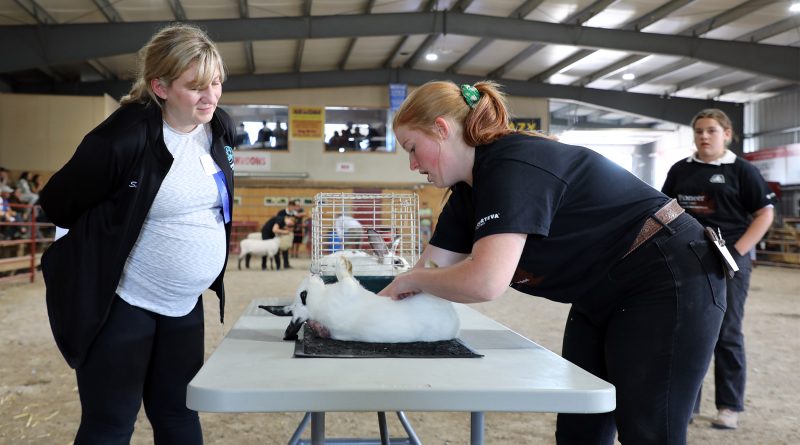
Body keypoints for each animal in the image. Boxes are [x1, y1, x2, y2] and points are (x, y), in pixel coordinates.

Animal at [262, 253, 460, 344]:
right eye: (304, 295)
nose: (311, 276)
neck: (318, 305)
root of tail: (454, 322)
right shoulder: (348, 289)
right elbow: (345, 276)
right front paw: (343, 261)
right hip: (432, 295)